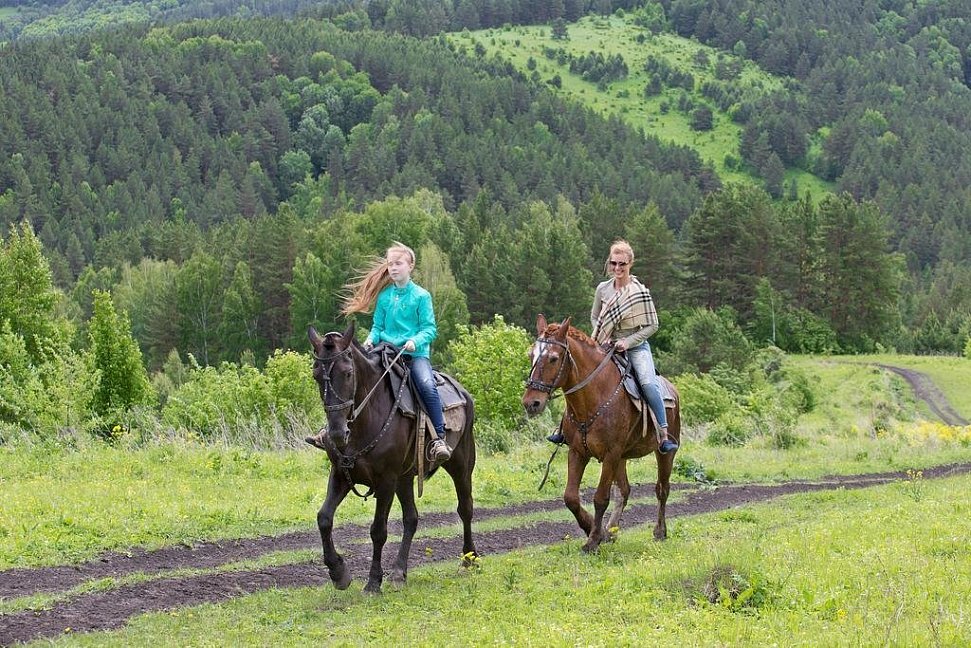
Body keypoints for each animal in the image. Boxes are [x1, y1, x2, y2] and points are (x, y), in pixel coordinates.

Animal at [308, 322, 477, 593]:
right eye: (315, 374)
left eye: (347, 373)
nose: (337, 433)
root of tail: (463, 392)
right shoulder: (341, 475)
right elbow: (324, 518)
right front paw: (338, 573)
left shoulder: (386, 480)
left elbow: (378, 530)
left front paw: (373, 583)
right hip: (405, 478)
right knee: (411, 518)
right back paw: (399, 572)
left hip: (461, 464)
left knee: (466, 508)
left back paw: (469, 560)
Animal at [521, 314, 681, 553]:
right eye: (531, 355)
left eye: (553, 358)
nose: (531, 403)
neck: (592, 399)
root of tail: (672, 389)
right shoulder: (578, 452)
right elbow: (571, 497)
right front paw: (595, 531)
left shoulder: (610, 455)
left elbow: (600, 498)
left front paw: (593, 540)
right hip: (622, 459)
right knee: (624, 491)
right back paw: (612, 530)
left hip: (664, 453)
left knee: (662, 488)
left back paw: (659, 532)